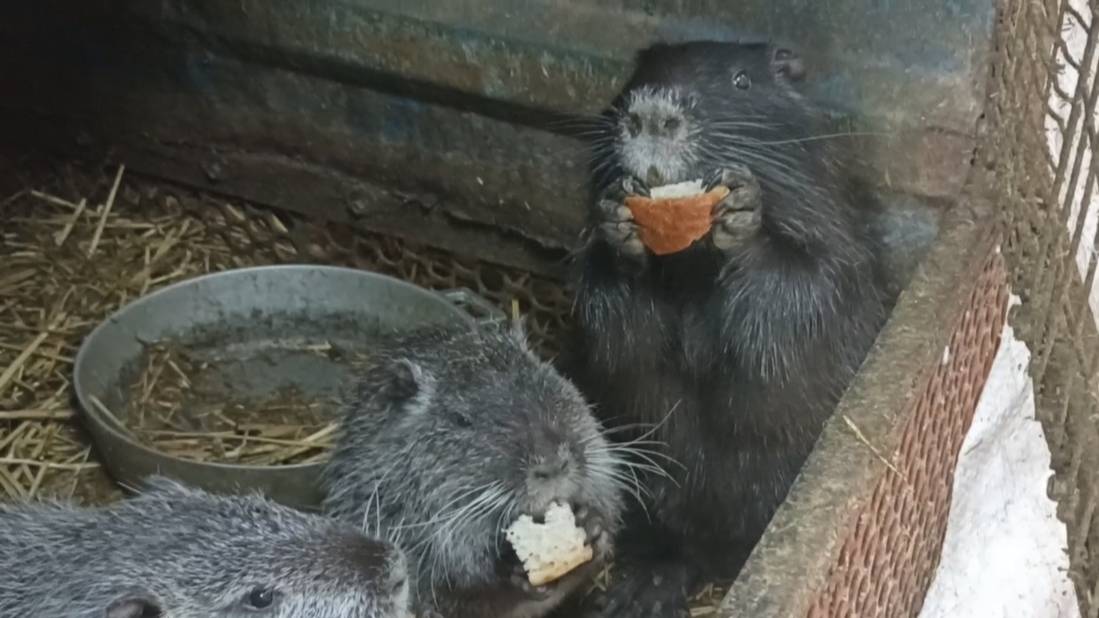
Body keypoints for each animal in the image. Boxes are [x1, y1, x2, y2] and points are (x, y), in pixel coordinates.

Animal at [566, 40, 889, 616]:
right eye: (637, 74)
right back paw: (638, 589)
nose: (652, 112)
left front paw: (741, 214)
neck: (692, 263)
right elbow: (610, 318)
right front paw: (620, 227)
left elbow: (807, 286)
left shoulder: (837, 234)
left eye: (742, 80)